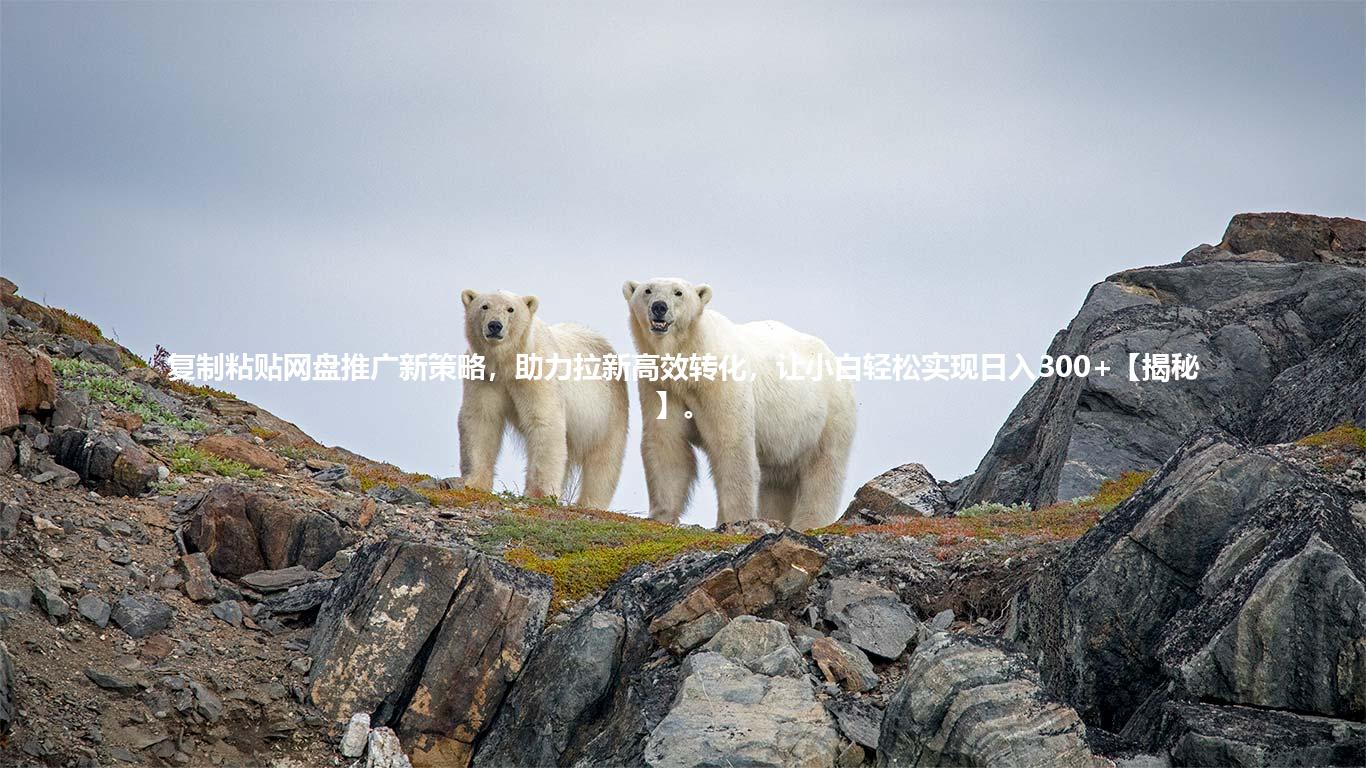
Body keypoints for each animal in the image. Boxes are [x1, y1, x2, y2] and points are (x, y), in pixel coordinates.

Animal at [458, 286, 628, 508]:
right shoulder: (485, 376)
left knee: (604, 460)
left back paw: (589, 503)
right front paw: (474, 482)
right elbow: (481, 420)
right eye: (484, 306)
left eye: (510, 309)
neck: (508, 363)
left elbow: (544, 423)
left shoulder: (537, 373)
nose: (495, 325)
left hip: (608, 411)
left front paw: (538, 493)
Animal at [625, 277, 852, 530]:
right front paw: (661, 515)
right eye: (647, 290)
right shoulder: (662, 386)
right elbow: (667, 443)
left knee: (823, 470)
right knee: (777, 481)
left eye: (678, 292)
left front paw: (736, 519)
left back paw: (808, 523)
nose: (659, 307)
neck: (690, 356)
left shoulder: (721, 383)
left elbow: (732, 445)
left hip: (829, 416)